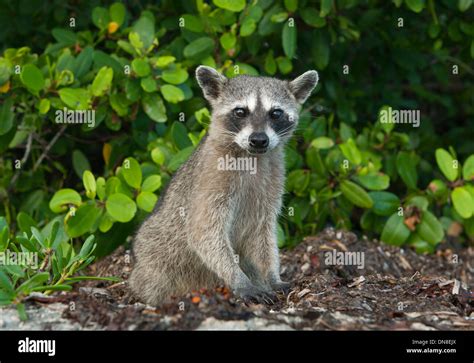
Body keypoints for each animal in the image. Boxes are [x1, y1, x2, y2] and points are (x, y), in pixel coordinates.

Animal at [130, 67, 318, 306]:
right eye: (240, 111)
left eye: (276, 113)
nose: (259, 140)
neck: (252, 156)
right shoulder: (211, 179)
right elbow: (204, 231)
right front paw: (240, 280)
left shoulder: (272, 183)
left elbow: (264, 234)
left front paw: (271, 276)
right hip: (156, 259)